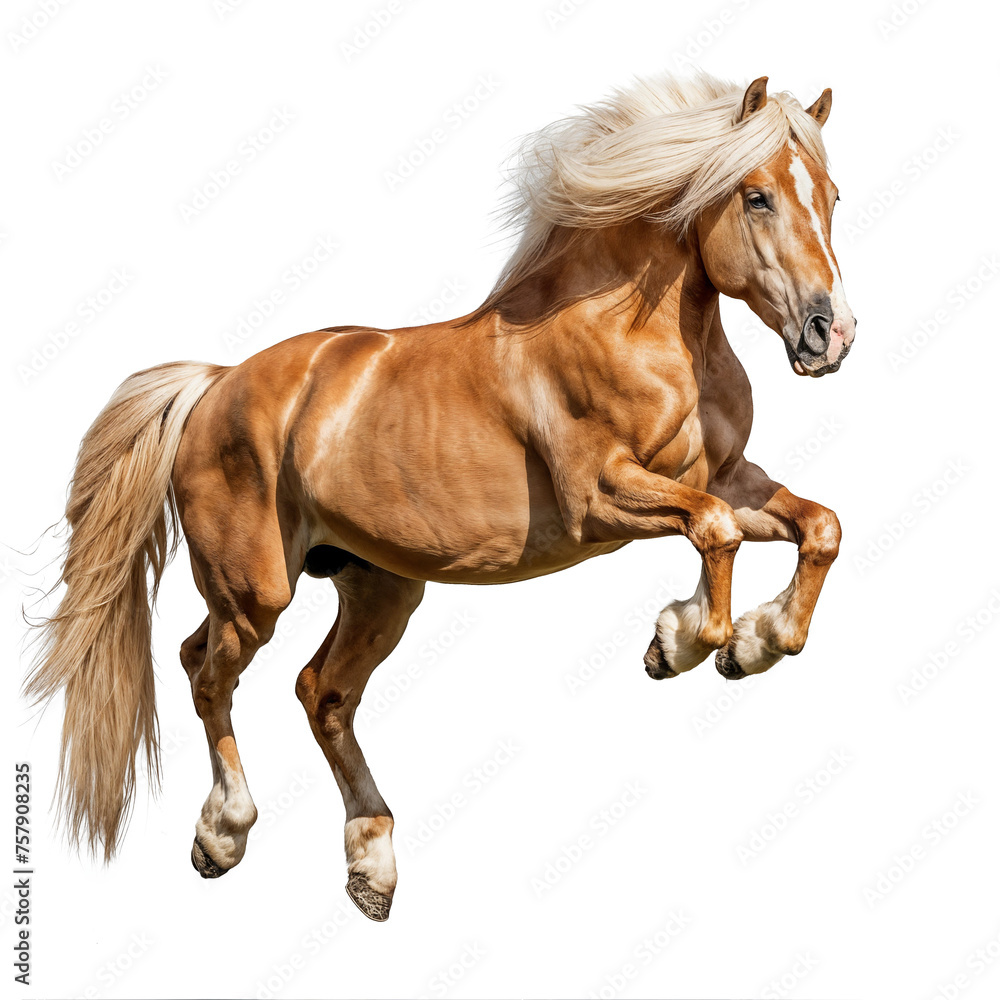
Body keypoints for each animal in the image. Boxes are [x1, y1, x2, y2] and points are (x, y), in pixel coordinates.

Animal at [26, 72, 855, 921]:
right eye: (756, 196)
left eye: (832, 196)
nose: (829, 334)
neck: (633, 330)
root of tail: (215, 384)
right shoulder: (600, 498)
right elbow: (716, 533)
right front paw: (683, 644)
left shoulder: (726, 477)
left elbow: (818, 527)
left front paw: (747, 643)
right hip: (254, 590)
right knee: (204, 669)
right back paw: (223, 836)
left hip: (381, 586)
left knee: (321, 692)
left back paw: (371, 867)